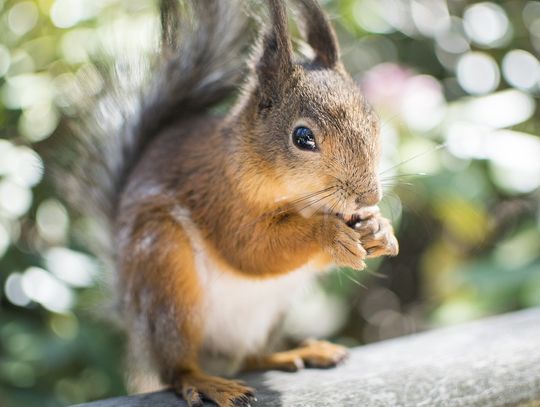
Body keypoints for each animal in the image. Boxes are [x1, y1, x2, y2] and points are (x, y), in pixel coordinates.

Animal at [58, 0, 396, 407]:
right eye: (303, 137)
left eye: (373, 120)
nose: (369, 196)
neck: (299, 199)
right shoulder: (219, 197)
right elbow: (250, 249)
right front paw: (328, 233)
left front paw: (380, 229)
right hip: (163, 275)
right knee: (175, 368)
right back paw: (207, 382)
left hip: (270, 315)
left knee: (249, 358)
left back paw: (294, 353)